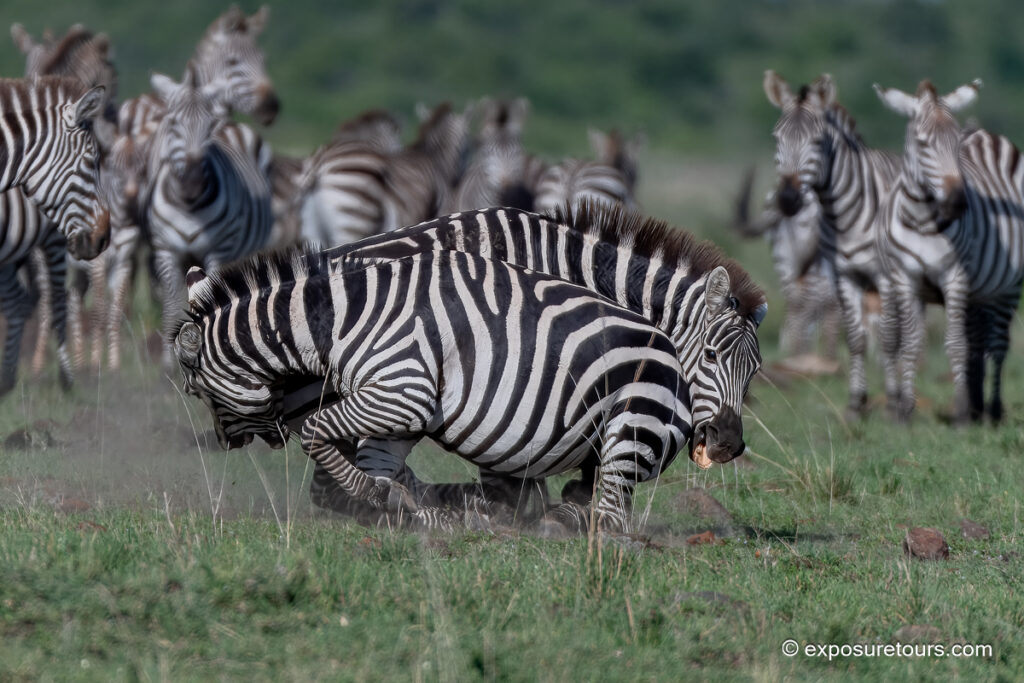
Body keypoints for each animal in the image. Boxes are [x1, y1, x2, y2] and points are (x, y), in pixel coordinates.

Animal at [142, 66, 272, 368]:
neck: (189, 207)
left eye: (209, 127)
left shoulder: (218, 251)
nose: (192, 184)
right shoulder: (166, 252)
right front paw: (169, 361)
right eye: (173, 123)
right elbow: (172, 304)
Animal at [174, 247, 697, 533]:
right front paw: (403, 508)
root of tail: (679, 367)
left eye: (196, 392)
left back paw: (555, 523)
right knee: (591, 496)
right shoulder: (397, 410)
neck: (336, 322)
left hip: (631, 422)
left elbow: (318, 432)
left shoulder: (403, 389)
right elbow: (374, 477)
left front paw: (381, 496)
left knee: (609, 516)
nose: (225, 443)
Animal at [764, 71, 901, 418]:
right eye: (776, 139)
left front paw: (894, 406)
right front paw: (856, 404)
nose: (787, 200)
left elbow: (889, 338)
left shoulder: (884, 277)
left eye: (817, 142)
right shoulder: (843, 276)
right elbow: (854, 338)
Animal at [873, 78, 1023, 423]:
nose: (957, 203)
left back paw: (993, 410)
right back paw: (979, 404)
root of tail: (989, 136)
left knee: (997, 345)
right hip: (979, 293)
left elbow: (955, 344)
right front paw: (906, 411)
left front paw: (961, 413)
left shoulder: (955, 277)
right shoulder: (905, 278)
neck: (923, 221)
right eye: (922, 143)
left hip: (1007, 288)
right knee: (978, 342)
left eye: (956, 144)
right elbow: (911, 344)